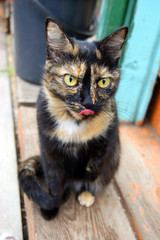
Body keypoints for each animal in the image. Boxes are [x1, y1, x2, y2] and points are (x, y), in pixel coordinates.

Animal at [18, 17, 127, 219]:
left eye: (103, 82)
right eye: (70, 79)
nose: (88, 103)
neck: (75, 123)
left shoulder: (109, 133)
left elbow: (98, 160)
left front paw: (89, 175)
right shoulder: (49, 149)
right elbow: (54, 179)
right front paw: (52, 205)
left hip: (115, 159)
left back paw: (86, 194)